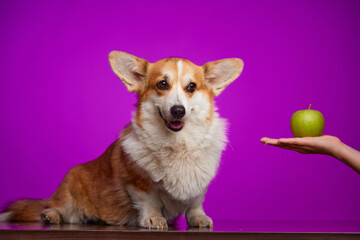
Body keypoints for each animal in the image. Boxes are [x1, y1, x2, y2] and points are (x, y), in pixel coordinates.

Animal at [0, 51, 243, 229]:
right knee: (53, 207)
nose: (178, 110)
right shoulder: (137, 182)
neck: (177, 143)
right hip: (70, 188)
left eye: (191, 87)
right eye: (162, 84)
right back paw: (51, 215)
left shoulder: (200, 185)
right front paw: (153, 219)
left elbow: (195, 203)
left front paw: (198, 218)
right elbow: (150, 201)